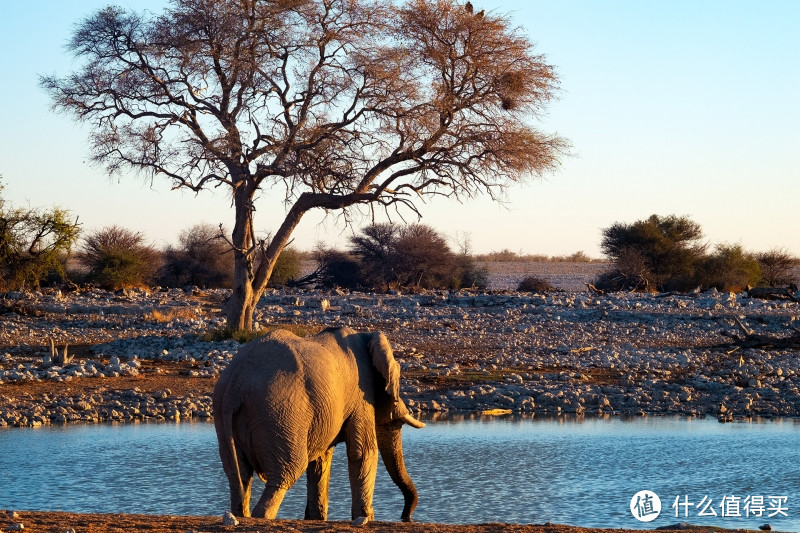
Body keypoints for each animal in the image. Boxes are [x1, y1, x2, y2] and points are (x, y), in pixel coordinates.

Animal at [211, 324, 424, 524]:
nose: (406, 517)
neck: (367, 337)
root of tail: (235, 385)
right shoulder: (361, 396)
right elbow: (363, 452)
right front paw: (366, 519)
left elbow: (321, 461)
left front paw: (316, 518)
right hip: (278, 413)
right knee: (288, 471)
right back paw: (262, 516)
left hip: (226, 416)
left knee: (239, 476)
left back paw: (240, 514)